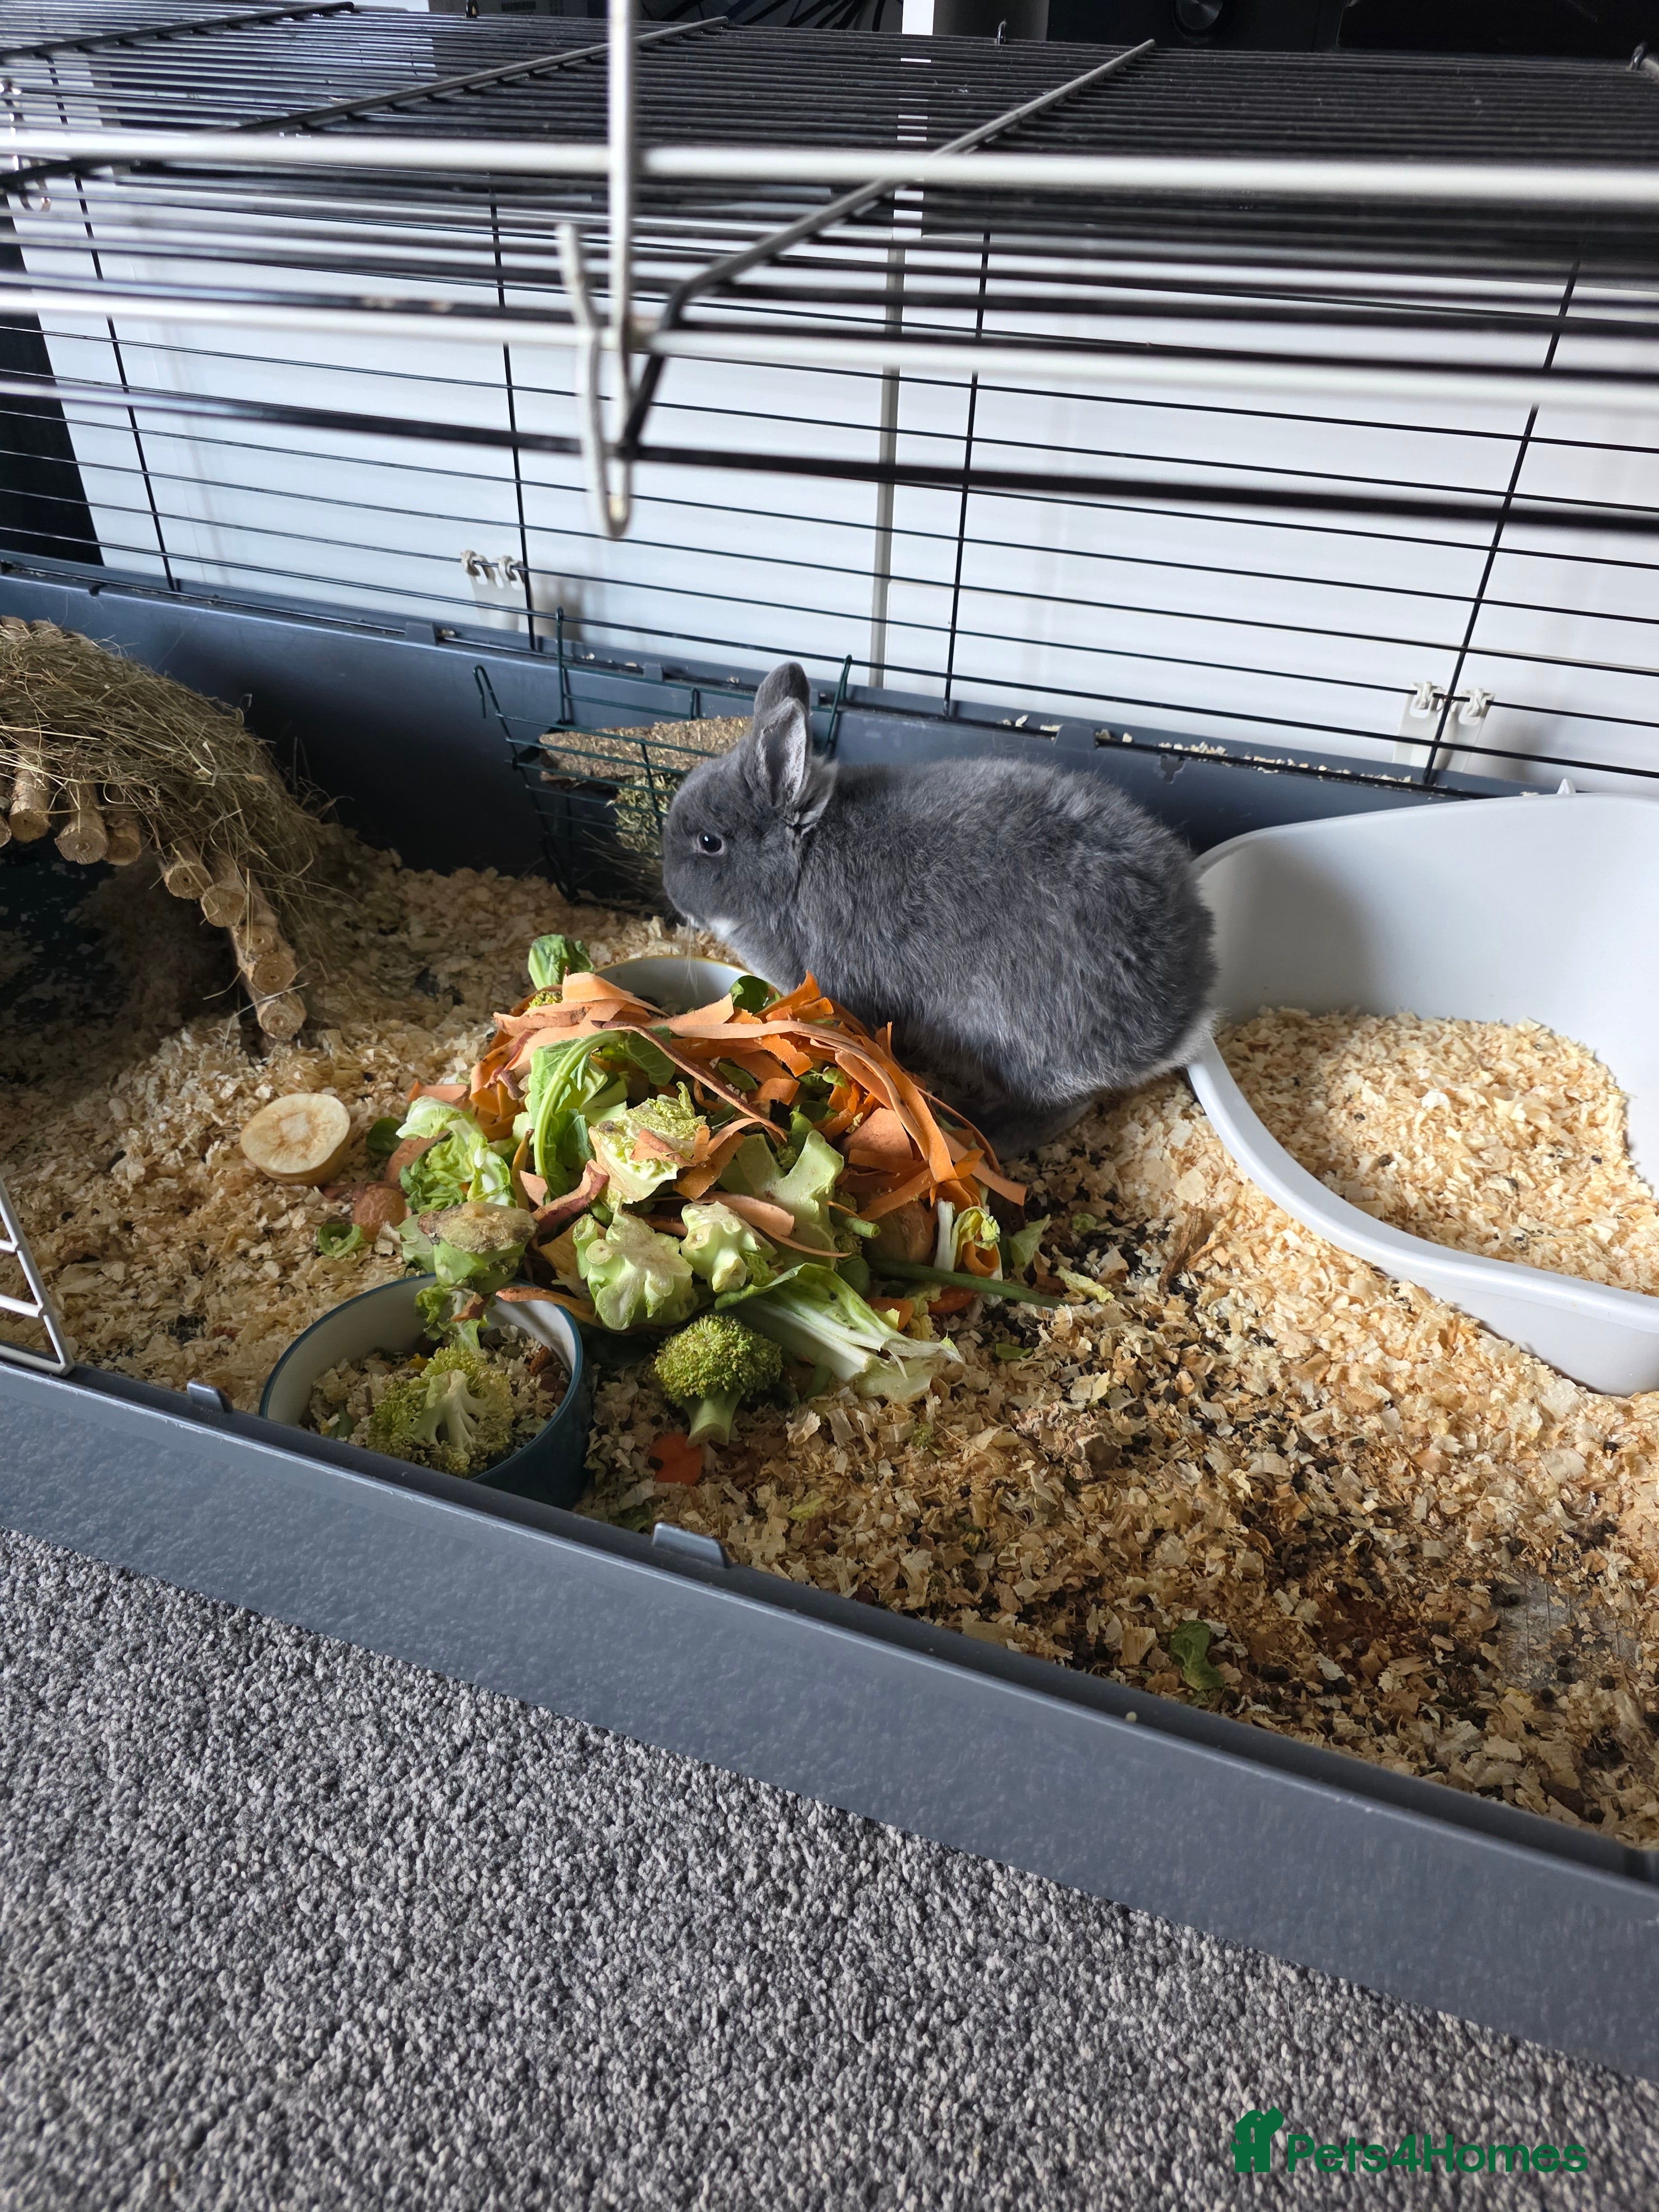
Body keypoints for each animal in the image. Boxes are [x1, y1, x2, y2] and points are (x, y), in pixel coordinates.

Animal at [661, 661, 1216, 1159]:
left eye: (709, 843)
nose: (672, 893)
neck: (799, 862)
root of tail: (1183, 1019)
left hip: (1017, 1047)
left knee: (1065, 1107)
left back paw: (989, 1133)